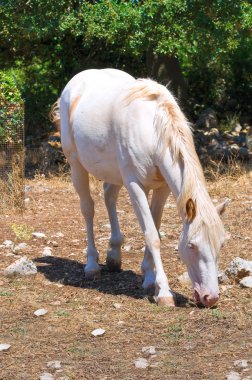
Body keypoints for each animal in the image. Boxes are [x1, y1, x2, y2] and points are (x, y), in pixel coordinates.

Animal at [55, 68, 228, 308]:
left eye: (221, 244)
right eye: (192, 245)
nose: (210, 298)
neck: (152, 130)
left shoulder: (162, 188)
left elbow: (155, 228)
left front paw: (149, 279)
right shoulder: (135, 184)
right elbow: (152, 235)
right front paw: (163, 292)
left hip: (114, 173)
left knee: (109, 196)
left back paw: (114, 256)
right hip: (76, 165)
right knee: (88, 209)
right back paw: (92, 265)